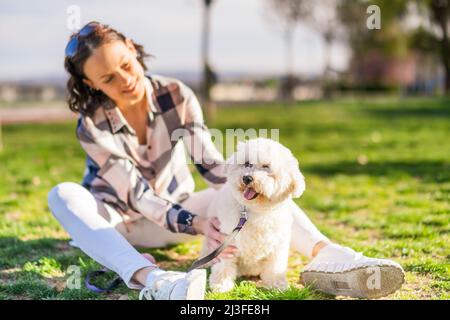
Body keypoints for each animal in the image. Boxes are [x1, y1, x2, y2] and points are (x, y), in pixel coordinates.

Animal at [205, 138, 306, 292]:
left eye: (266, 167)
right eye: (247, 164)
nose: (247, 178)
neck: (255, 211)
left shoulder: (278, 245)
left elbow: (275, 267)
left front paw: (277, 285)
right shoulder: (227, 242)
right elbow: (224, 266)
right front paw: (221, 284)